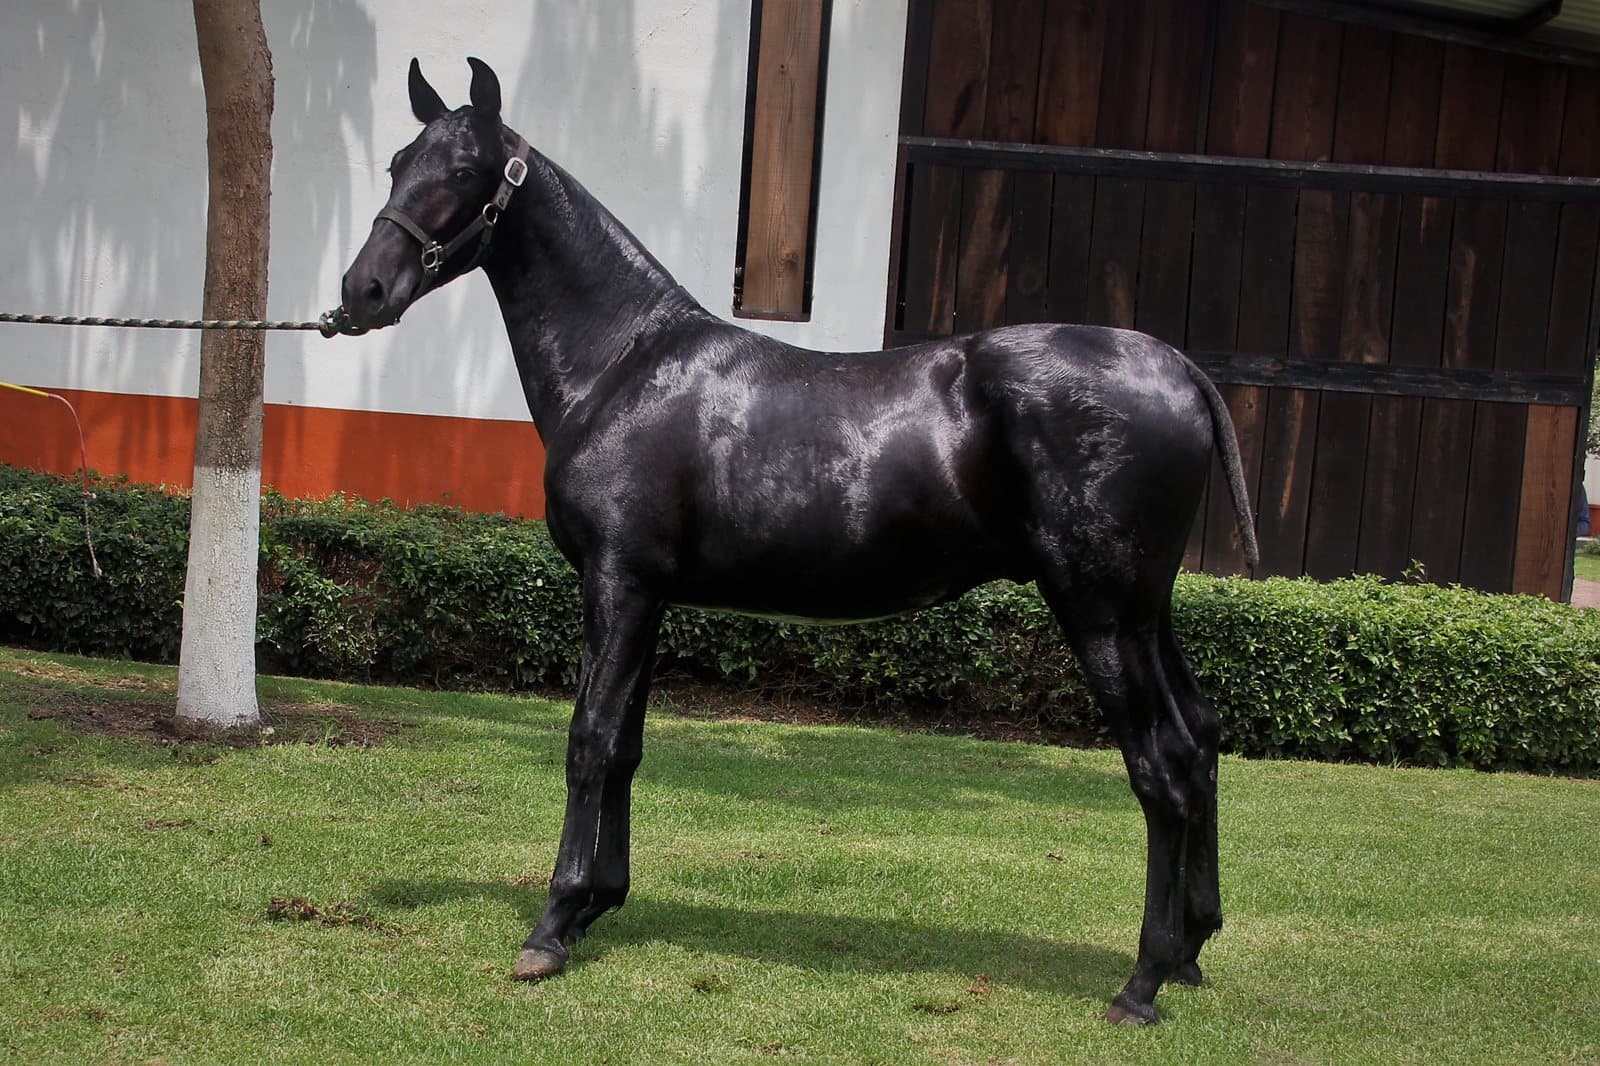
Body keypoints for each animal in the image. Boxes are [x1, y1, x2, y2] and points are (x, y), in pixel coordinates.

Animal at [339, 57, 1260, 1026]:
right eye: (399, 161)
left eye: (463, 170)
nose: (362, 293)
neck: (625, 364)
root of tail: (1177, 369)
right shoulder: (649, 593)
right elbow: (626, 746)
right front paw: (598, 903)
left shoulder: (616, 581)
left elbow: (589, 739)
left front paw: (552, 924)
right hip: (1145, 613)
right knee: (1201, 740)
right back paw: (1192, 947)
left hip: (1099, 614)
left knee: (1162, 769)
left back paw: (1143, 980)